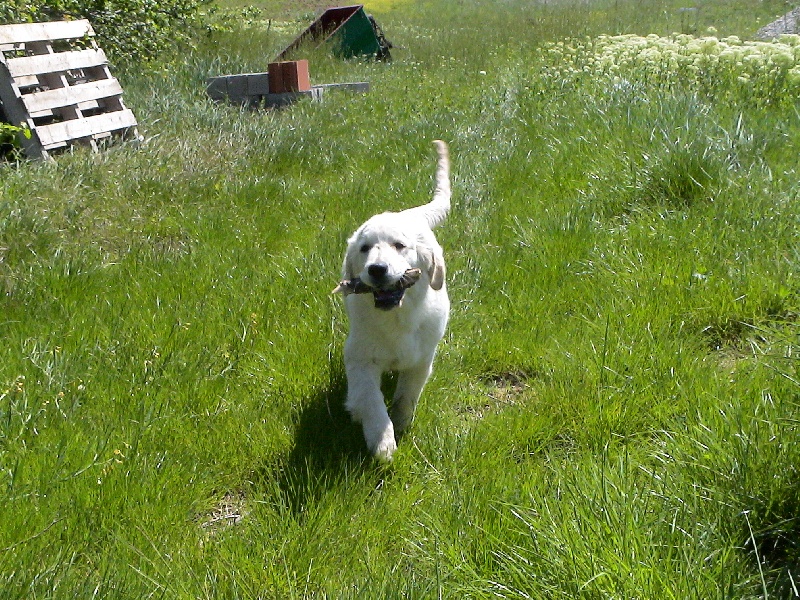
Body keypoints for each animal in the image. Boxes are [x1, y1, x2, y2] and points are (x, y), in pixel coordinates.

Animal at [334, 139, 454, 460]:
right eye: (364, 249)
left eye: (400, 246)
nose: (377, 269)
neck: (396, 317)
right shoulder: (360, 357)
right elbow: (370, 399)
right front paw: (383, 441)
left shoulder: (422, 359)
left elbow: (406, 396)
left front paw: (400, 423)